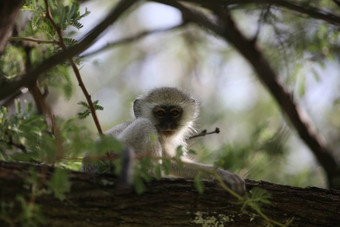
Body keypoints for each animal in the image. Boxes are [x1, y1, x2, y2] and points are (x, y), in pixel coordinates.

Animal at [82, 87, 247, 195]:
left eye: (175, 113)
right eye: (160, 113)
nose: (168, 125)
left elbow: (173, 162)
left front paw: (220, 174)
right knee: (144, 125)